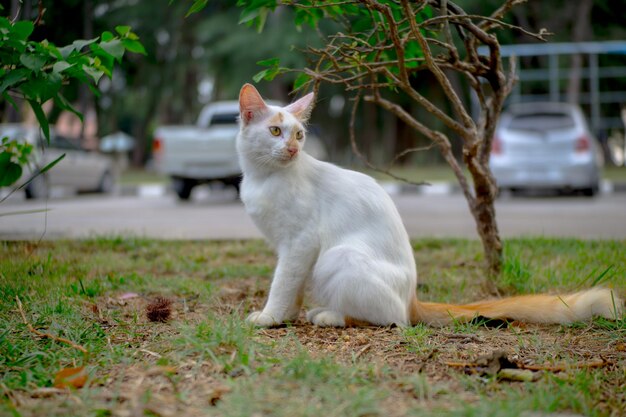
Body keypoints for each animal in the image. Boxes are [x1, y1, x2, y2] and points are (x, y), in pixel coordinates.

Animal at [236, 83, 620, 326]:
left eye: (299, 135)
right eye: (275, 132)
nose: (293, 148)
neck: (262, 178)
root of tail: (412, 300)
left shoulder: (300, 244)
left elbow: (282, 284)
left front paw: (270, 317)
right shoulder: (288, 248)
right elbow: (294, 289)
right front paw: (286, 317)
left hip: (337, 256)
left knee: (392, 319)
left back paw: (330, 315)